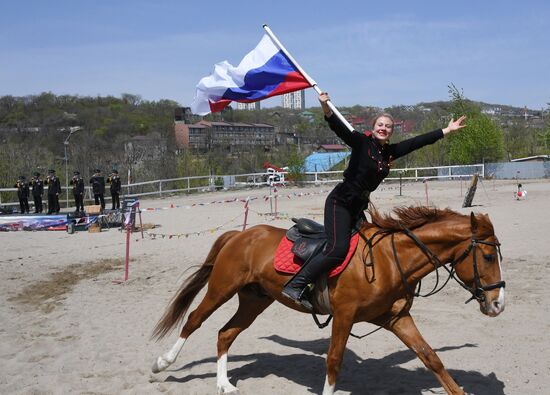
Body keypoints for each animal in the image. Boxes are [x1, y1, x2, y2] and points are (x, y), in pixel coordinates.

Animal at [153, 207, 506, 395]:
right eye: (488, 257)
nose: (498, 304)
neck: (390, 260)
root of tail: (240, 235)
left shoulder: (397, 319)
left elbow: (431, 358)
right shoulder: (344, 315)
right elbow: (334, 361)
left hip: (255, 300)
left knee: (225, 334)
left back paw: (224, 384)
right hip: (221, 289)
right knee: (194, 320)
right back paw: (163, 363)